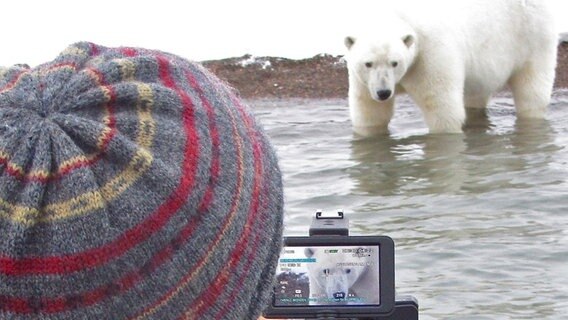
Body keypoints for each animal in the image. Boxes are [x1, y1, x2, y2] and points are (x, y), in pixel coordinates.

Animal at [344, 0, 556, 136]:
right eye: (368, 63)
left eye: (395, 62)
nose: (384, 92)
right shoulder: (363, 80)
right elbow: (370, 111)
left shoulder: (431, 53)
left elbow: (441, 108)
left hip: (531, 35)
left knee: (532, 88)